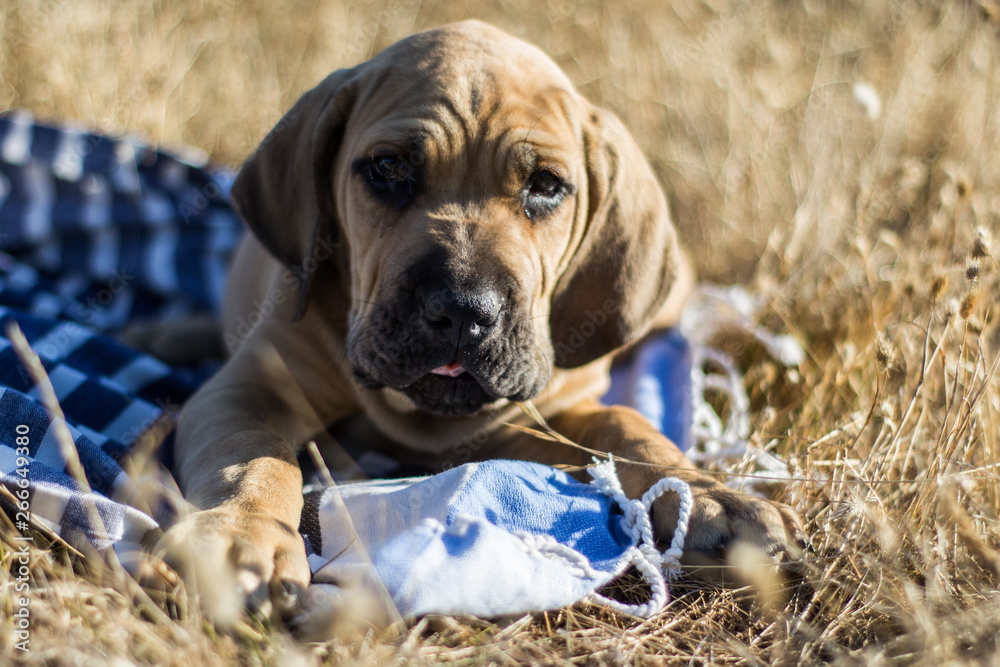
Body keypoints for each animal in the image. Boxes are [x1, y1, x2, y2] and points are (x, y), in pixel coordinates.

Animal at [162, 19, 804, 616]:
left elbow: (626, 426)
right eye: (387, 169)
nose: (463, 310)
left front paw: (714, 497)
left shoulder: (543, 419)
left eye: (546, 185)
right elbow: (252, 457)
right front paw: (242, 535)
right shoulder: (251, 387)